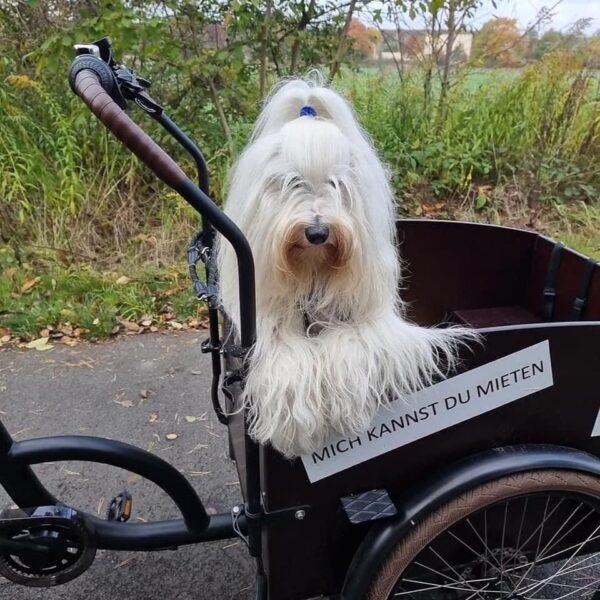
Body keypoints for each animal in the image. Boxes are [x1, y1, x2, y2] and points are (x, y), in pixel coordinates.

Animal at [216, 77, 474, 458]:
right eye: (292, 181)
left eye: (338, 184)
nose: (318, 232)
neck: (313, 272)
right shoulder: (266, 318)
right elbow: (285, 355)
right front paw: (296, 423)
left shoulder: (376, 324)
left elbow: (350, 347)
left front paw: (342, 408)